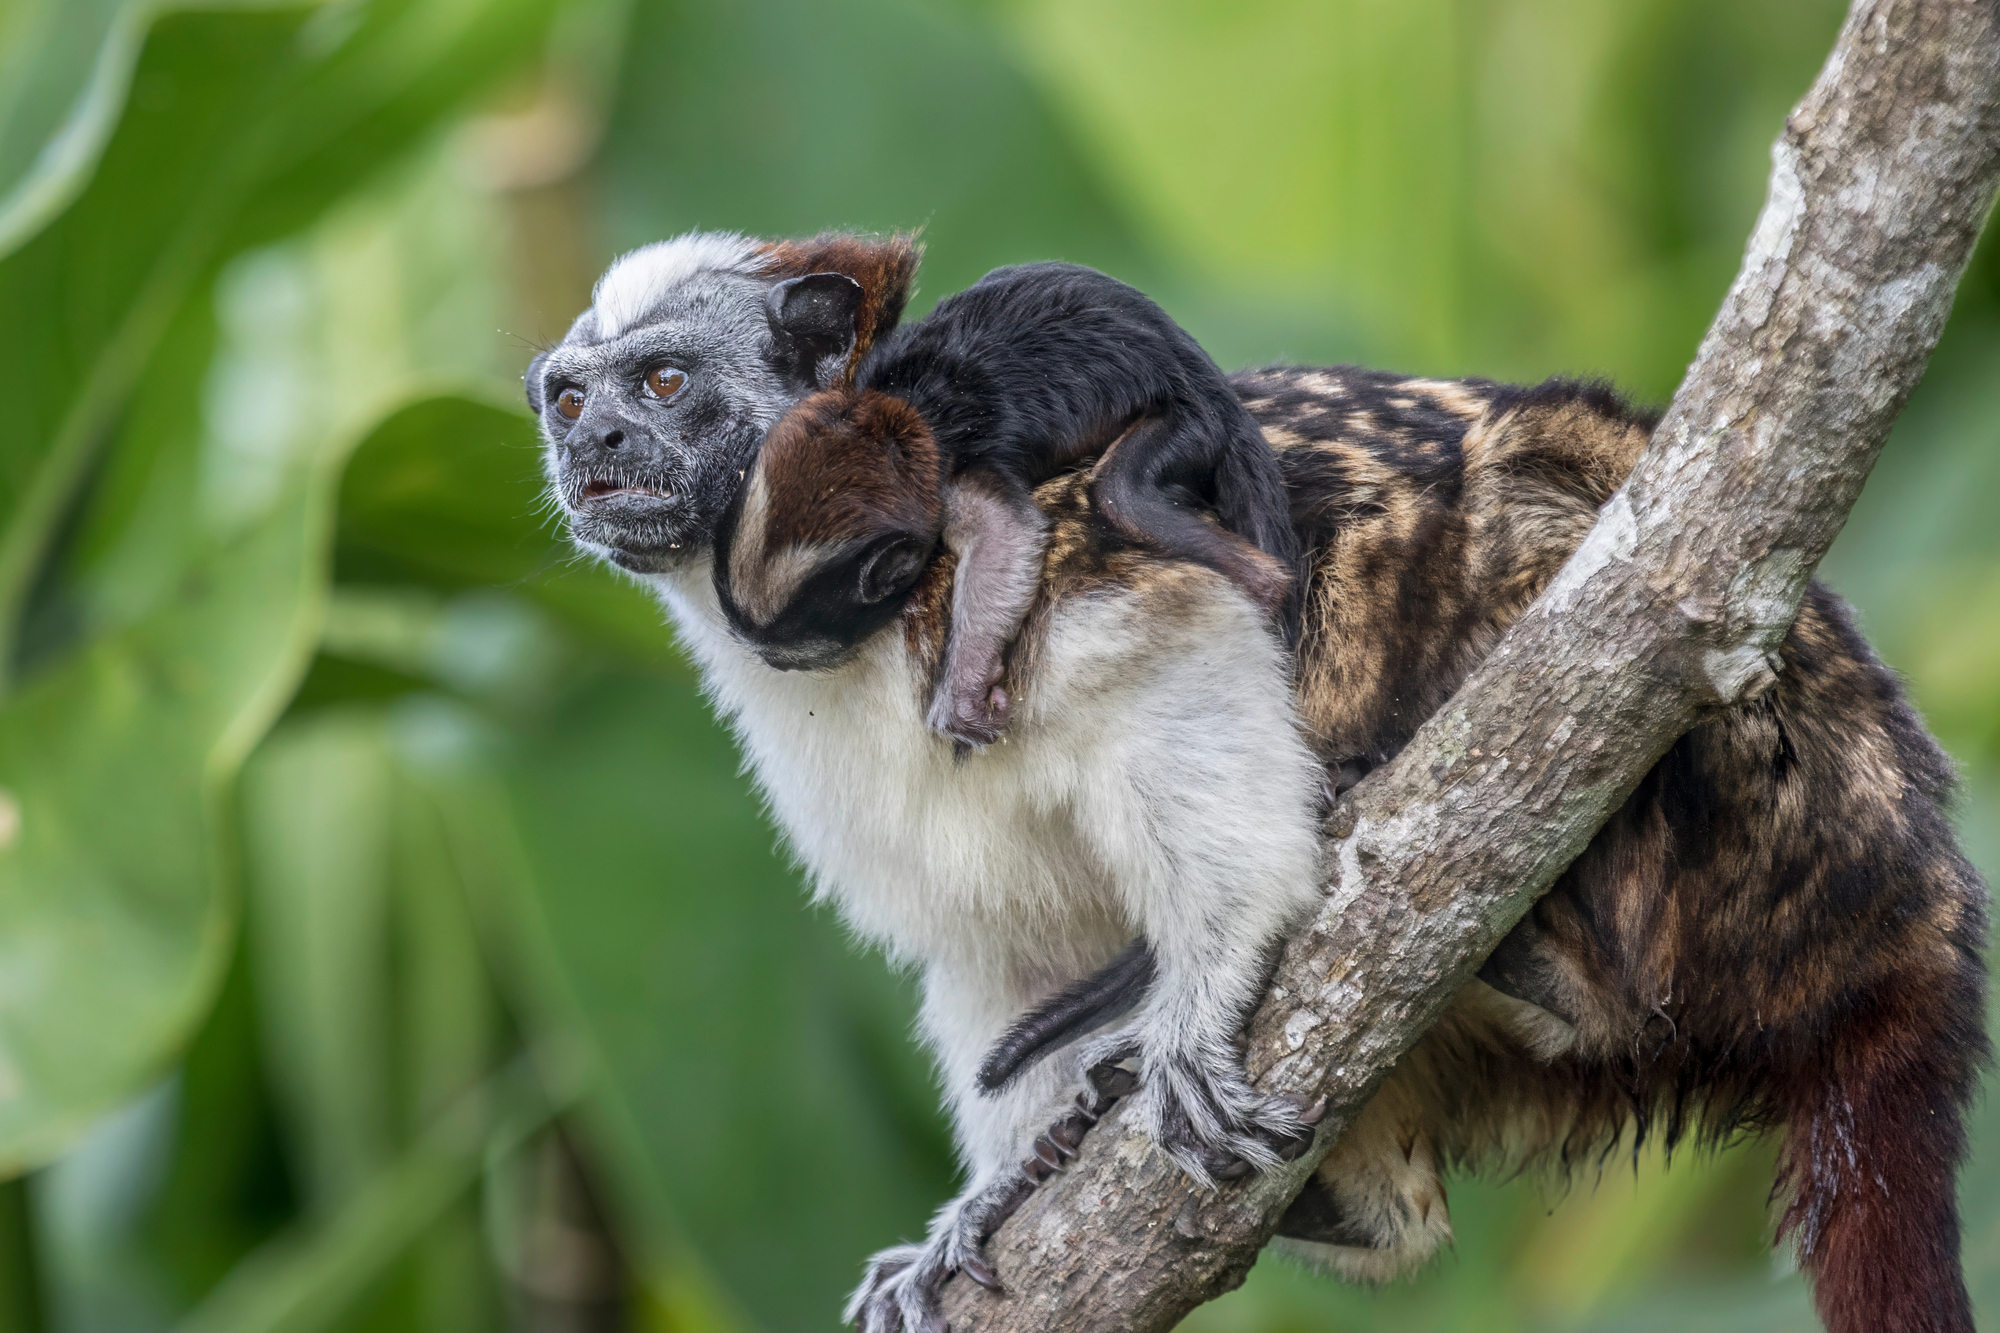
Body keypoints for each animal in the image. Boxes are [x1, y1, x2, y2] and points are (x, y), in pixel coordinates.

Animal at [715, 261, 1298, 747]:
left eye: (792, 662)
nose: (781, 670)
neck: (893, 425)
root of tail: (1208, 379)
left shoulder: (948, 481)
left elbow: (1007, 534)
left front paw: (961, 698)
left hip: (1192, 424)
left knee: (1120, 495)